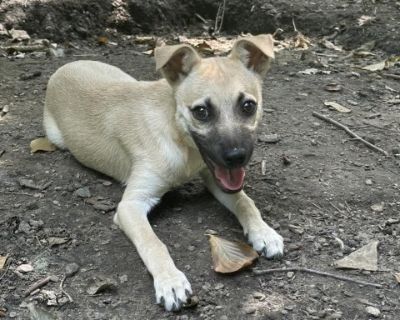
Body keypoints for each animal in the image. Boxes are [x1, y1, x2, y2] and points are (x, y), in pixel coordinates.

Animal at [43, 34, 284, 310]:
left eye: (248, 106)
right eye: (201, 112)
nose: (236, 157)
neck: (181, 142)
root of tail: (68, 65)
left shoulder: (215, 177)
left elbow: (245, 202)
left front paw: (264, 232)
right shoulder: (130, 205)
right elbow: (153, 243)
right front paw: (170, 281)